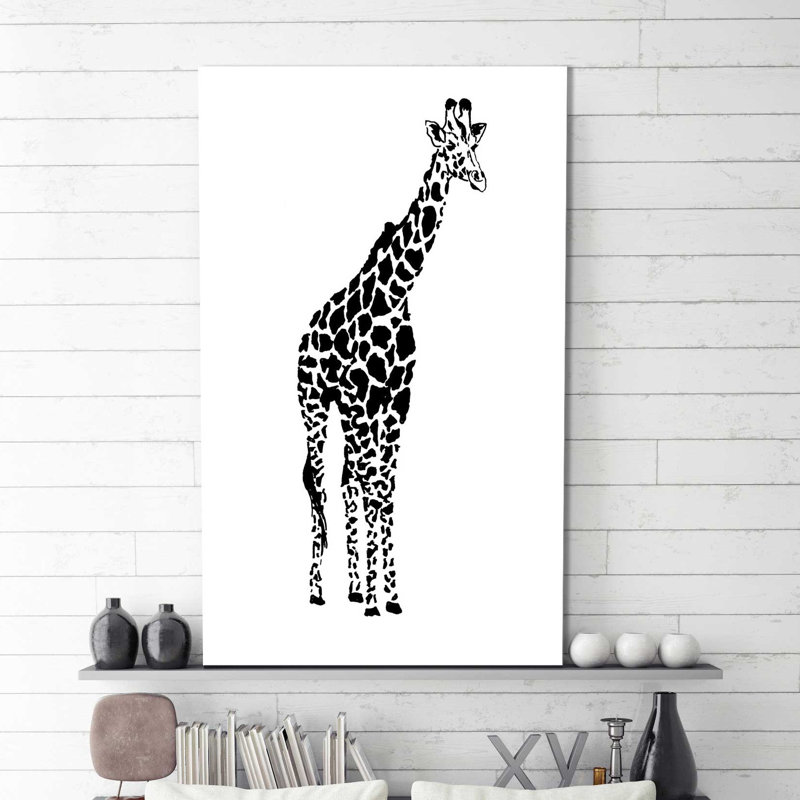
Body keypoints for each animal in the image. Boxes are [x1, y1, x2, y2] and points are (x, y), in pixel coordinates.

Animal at [297, 98, 487, 617]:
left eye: (474, 143)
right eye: (447, 146)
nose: (480, 178)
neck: (397, 293)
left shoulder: (396, 401)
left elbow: (386, 491)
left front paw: (390, 596)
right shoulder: (364, 400)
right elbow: (373, 490)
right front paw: (374, 601)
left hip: (345, 412)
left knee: (347, 481)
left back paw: (351, 586)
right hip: (316, 407)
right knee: (321, 482)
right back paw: (318, 591)